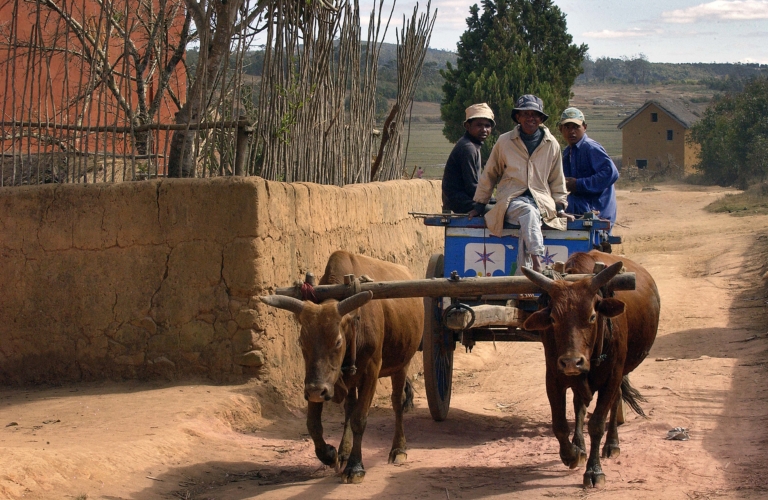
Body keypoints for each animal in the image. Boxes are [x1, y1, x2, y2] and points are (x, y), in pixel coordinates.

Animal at [259, 251, 423, 484]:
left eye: (337, 341)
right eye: (301, 341)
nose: (316, 391)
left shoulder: (371, 371)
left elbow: (359, 419)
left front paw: (355, 467)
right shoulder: (318, 381)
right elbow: (313, 423)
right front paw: (329, 454)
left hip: (402, 364)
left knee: (397, 402)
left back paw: (398, 449)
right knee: (349, 406)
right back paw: (344, 451)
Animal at [521, 250, 660, 488]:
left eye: (592, 316)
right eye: (553, 319)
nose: (571, 362)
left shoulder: (612, 376)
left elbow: (596, 424)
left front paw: (594, 471)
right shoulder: (554, 377)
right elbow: (559, 424)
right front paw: (572, 454)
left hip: (620, 372)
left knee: (616, 399)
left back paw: (612, 444)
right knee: (579, 405)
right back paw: (580, 445)